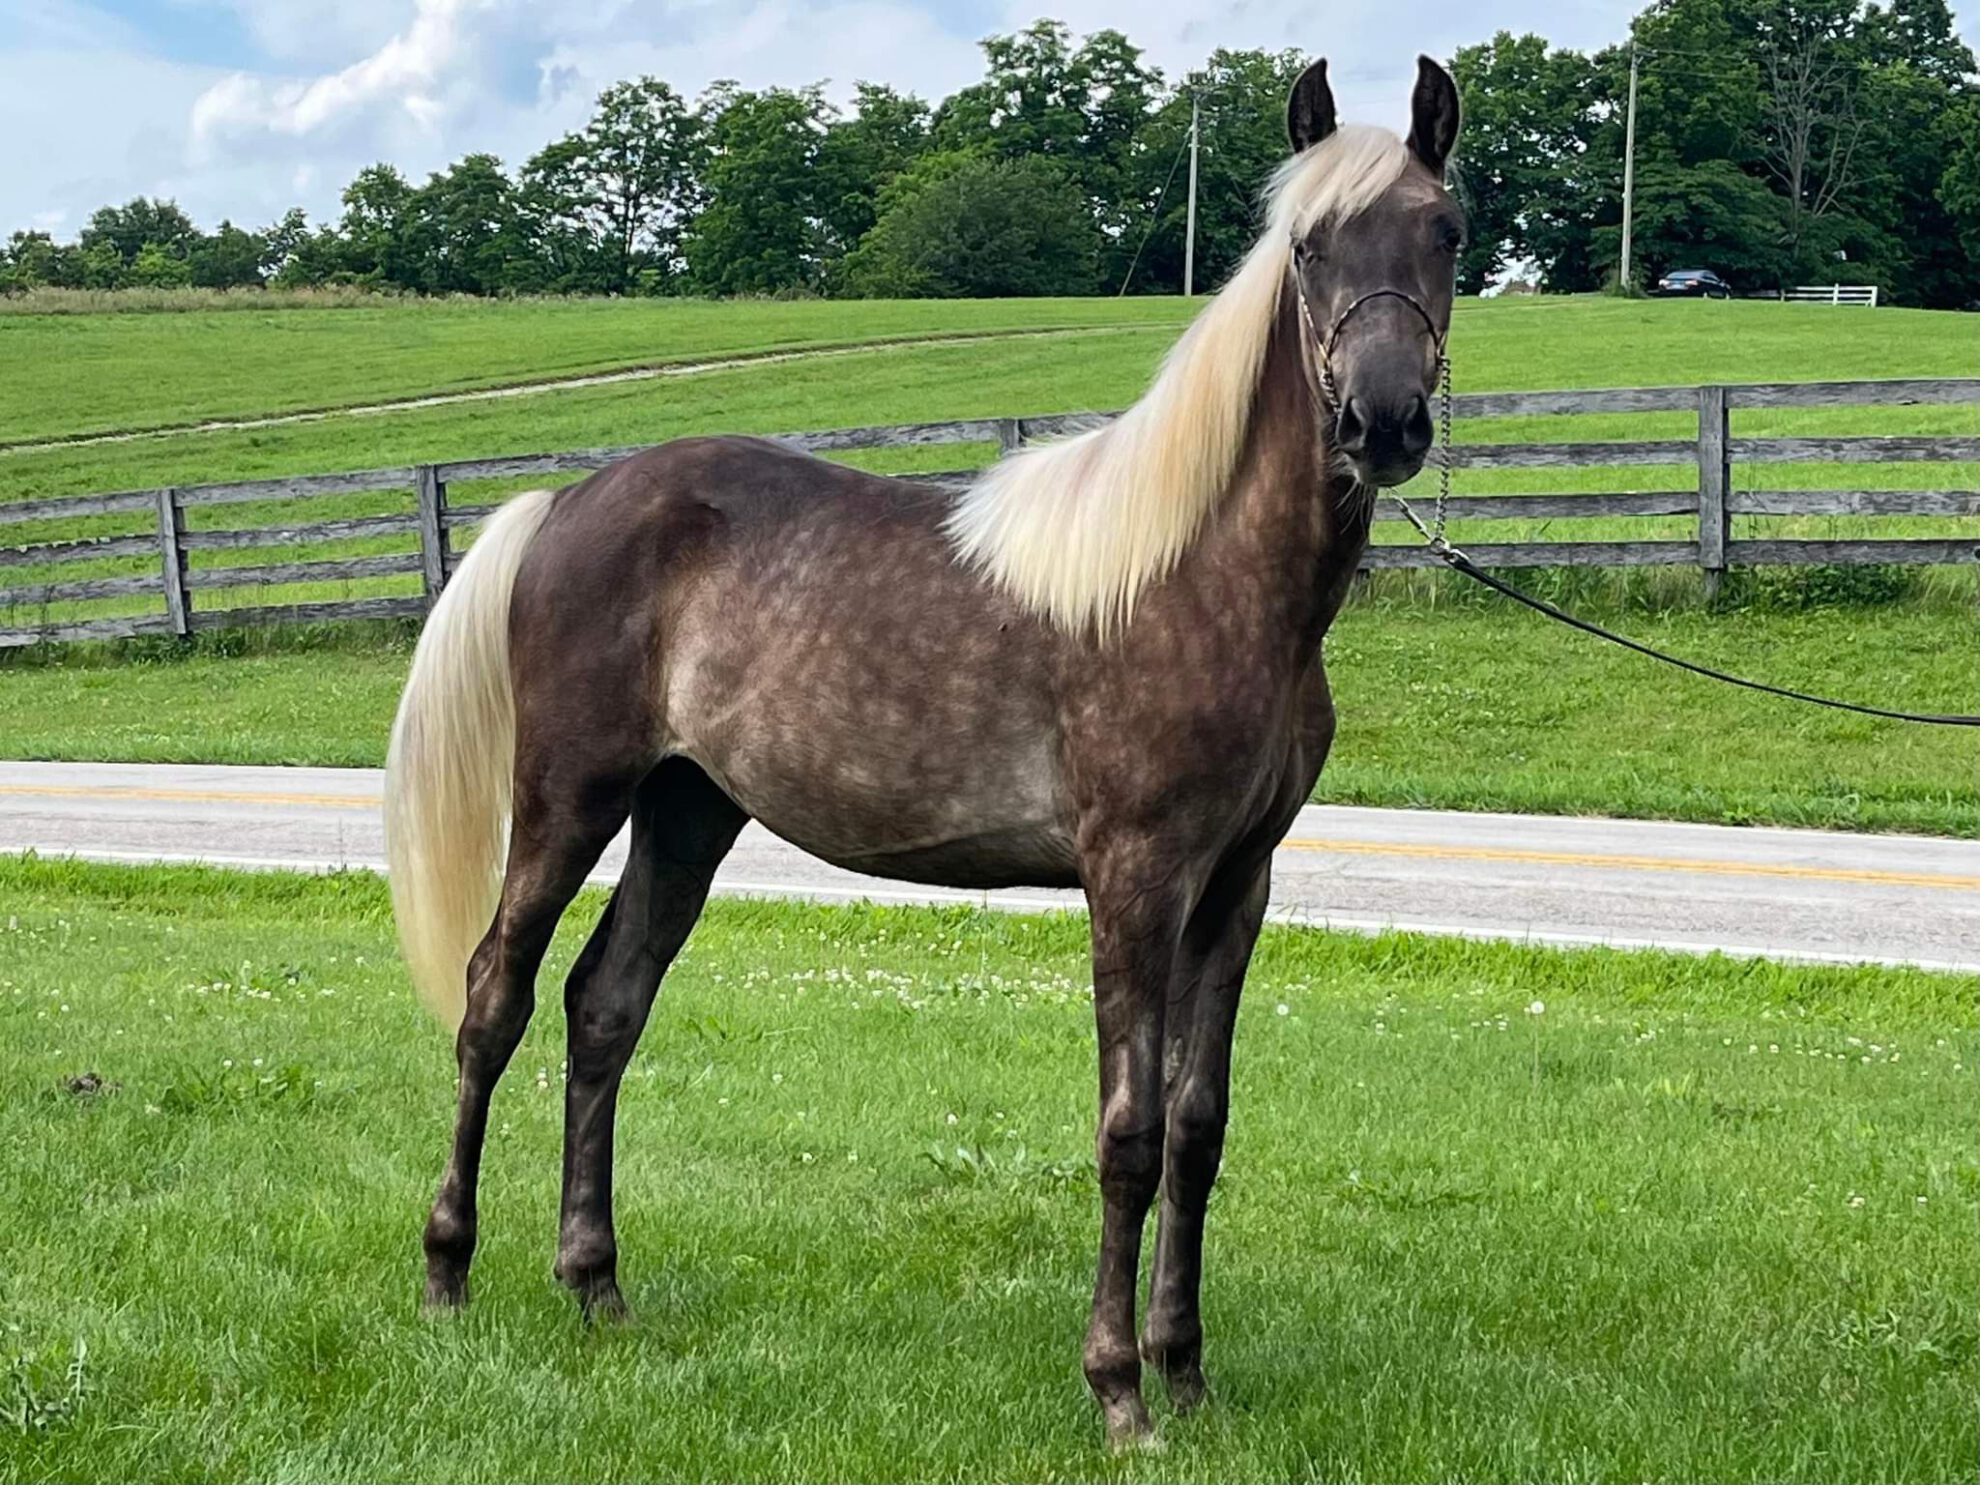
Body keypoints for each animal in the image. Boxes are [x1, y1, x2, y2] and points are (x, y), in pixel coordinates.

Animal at [386, 61, 1465, 1457]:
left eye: (1446, 233)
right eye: (1308, 246)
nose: (1383, 422)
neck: (1197, 575)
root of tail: (565, 502)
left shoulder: (1238, 886)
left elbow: (1197, 1127)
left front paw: (1185, 1371)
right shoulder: (1136, 880)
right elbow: (1128, 1133)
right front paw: (1118, 1391)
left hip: (688, 813)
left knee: (603, 1009)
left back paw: (597, 1288)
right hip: (570, 798)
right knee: (494, 1000)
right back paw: (448, 1271)